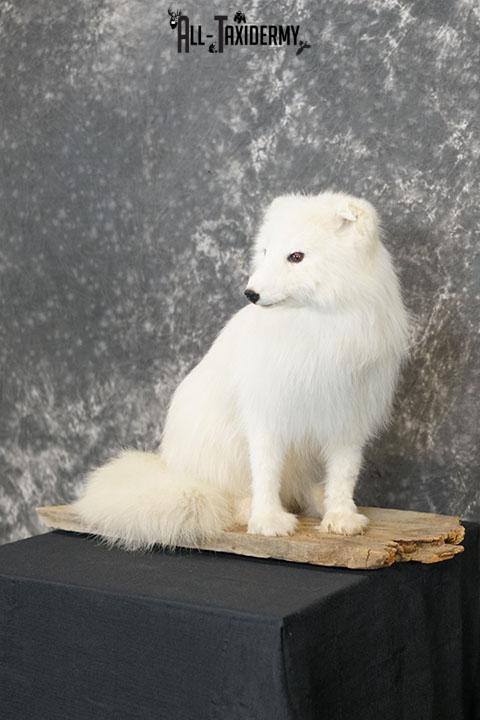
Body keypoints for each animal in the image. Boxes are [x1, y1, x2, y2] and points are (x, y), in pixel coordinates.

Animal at [73, 191, 410, 550]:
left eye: (296, 257)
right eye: (265, 252)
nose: (250, 293)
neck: (318, 325)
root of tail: (172, 470)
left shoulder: (348, 419)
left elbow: (344, 474)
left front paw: (341, 516)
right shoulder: (267, 416)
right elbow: (266, 472)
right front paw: (268, 521)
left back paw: (318, 501)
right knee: (227, 497)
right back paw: (248, 508)